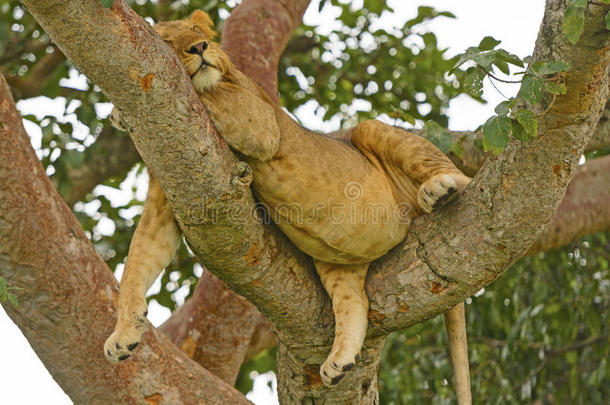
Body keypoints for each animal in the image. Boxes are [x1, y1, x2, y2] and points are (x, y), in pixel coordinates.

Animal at [105, 9, 470, 400]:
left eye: (197, 31)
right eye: (168, 42)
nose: (199, 47)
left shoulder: (261, 123)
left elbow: (211, 90)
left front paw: (117, 113)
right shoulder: (170, 188)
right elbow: (139, 260)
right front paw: (123, 335)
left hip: (372, 132)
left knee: (458, 174)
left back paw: (440, 189)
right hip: (336, 258)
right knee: (355, 303)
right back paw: (339, 363)